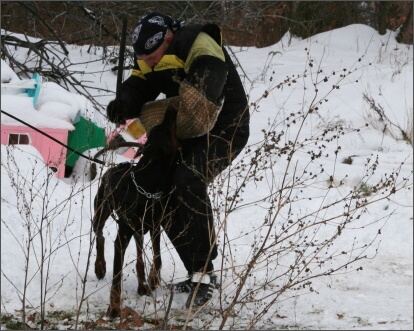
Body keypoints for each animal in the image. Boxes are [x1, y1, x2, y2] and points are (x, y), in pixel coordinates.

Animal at [93, 107, 180, 320]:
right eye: (164, 129)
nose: (171, 108)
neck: (146, 187)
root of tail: (111, 168)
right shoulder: (122, 236)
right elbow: (117, 277)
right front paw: (114, 309)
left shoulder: (156, 226)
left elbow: (157, 257)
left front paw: (154, 279)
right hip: (101, 210)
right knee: (99, 235)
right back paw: (100, 266)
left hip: (139, 230)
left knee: (140, 257)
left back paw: (142, 285)